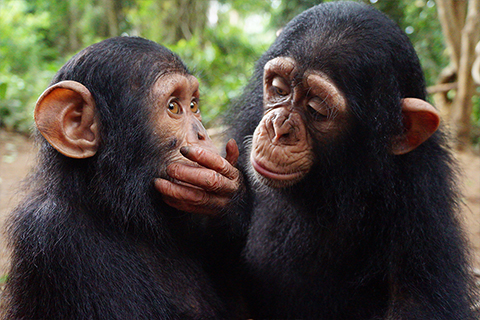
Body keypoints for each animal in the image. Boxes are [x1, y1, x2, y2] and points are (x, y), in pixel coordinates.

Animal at [159, 1, 478, 318]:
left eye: (317, 109)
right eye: (279, 89)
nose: (279, 128)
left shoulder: (423, 199)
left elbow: (417, 300)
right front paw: (223, 200)